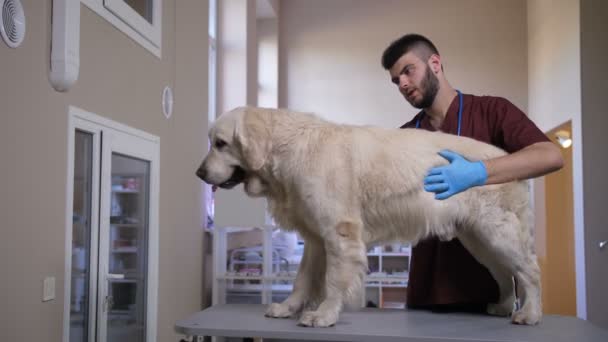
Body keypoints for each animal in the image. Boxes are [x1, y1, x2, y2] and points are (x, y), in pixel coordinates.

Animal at [197, 106, 544, 326]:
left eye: (221, 143)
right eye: (212, 142)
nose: (199, 173)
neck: (291, 148)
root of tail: (506, 158)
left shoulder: (339, 232)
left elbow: (333, 280)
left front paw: (324, 316)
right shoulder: (315, 238)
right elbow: (302, 279)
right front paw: (288, 308)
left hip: (497, 233)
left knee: (529, 271)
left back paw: (530, 314)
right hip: (478, 239)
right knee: (504, 273)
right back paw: (503, 306)